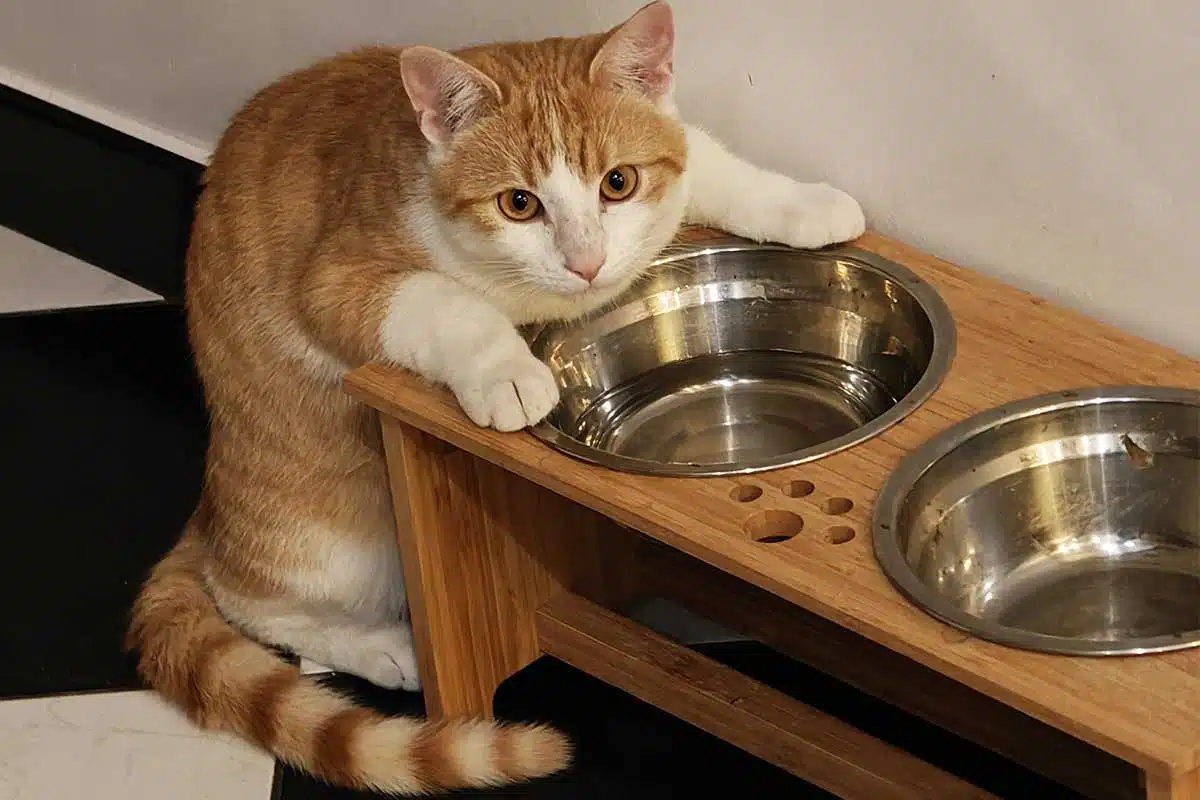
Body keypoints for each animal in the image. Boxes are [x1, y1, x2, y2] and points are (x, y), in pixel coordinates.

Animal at [129, 1, 864, 796]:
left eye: (618, 183)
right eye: (519, 204)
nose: (586, 262)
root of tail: (209, 509)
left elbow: (705, 156)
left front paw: (802, 202)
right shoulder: (337, 280)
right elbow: (450, 304)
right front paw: (509, 372)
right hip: (337, 528)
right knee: (252, 599)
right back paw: (380, 647)